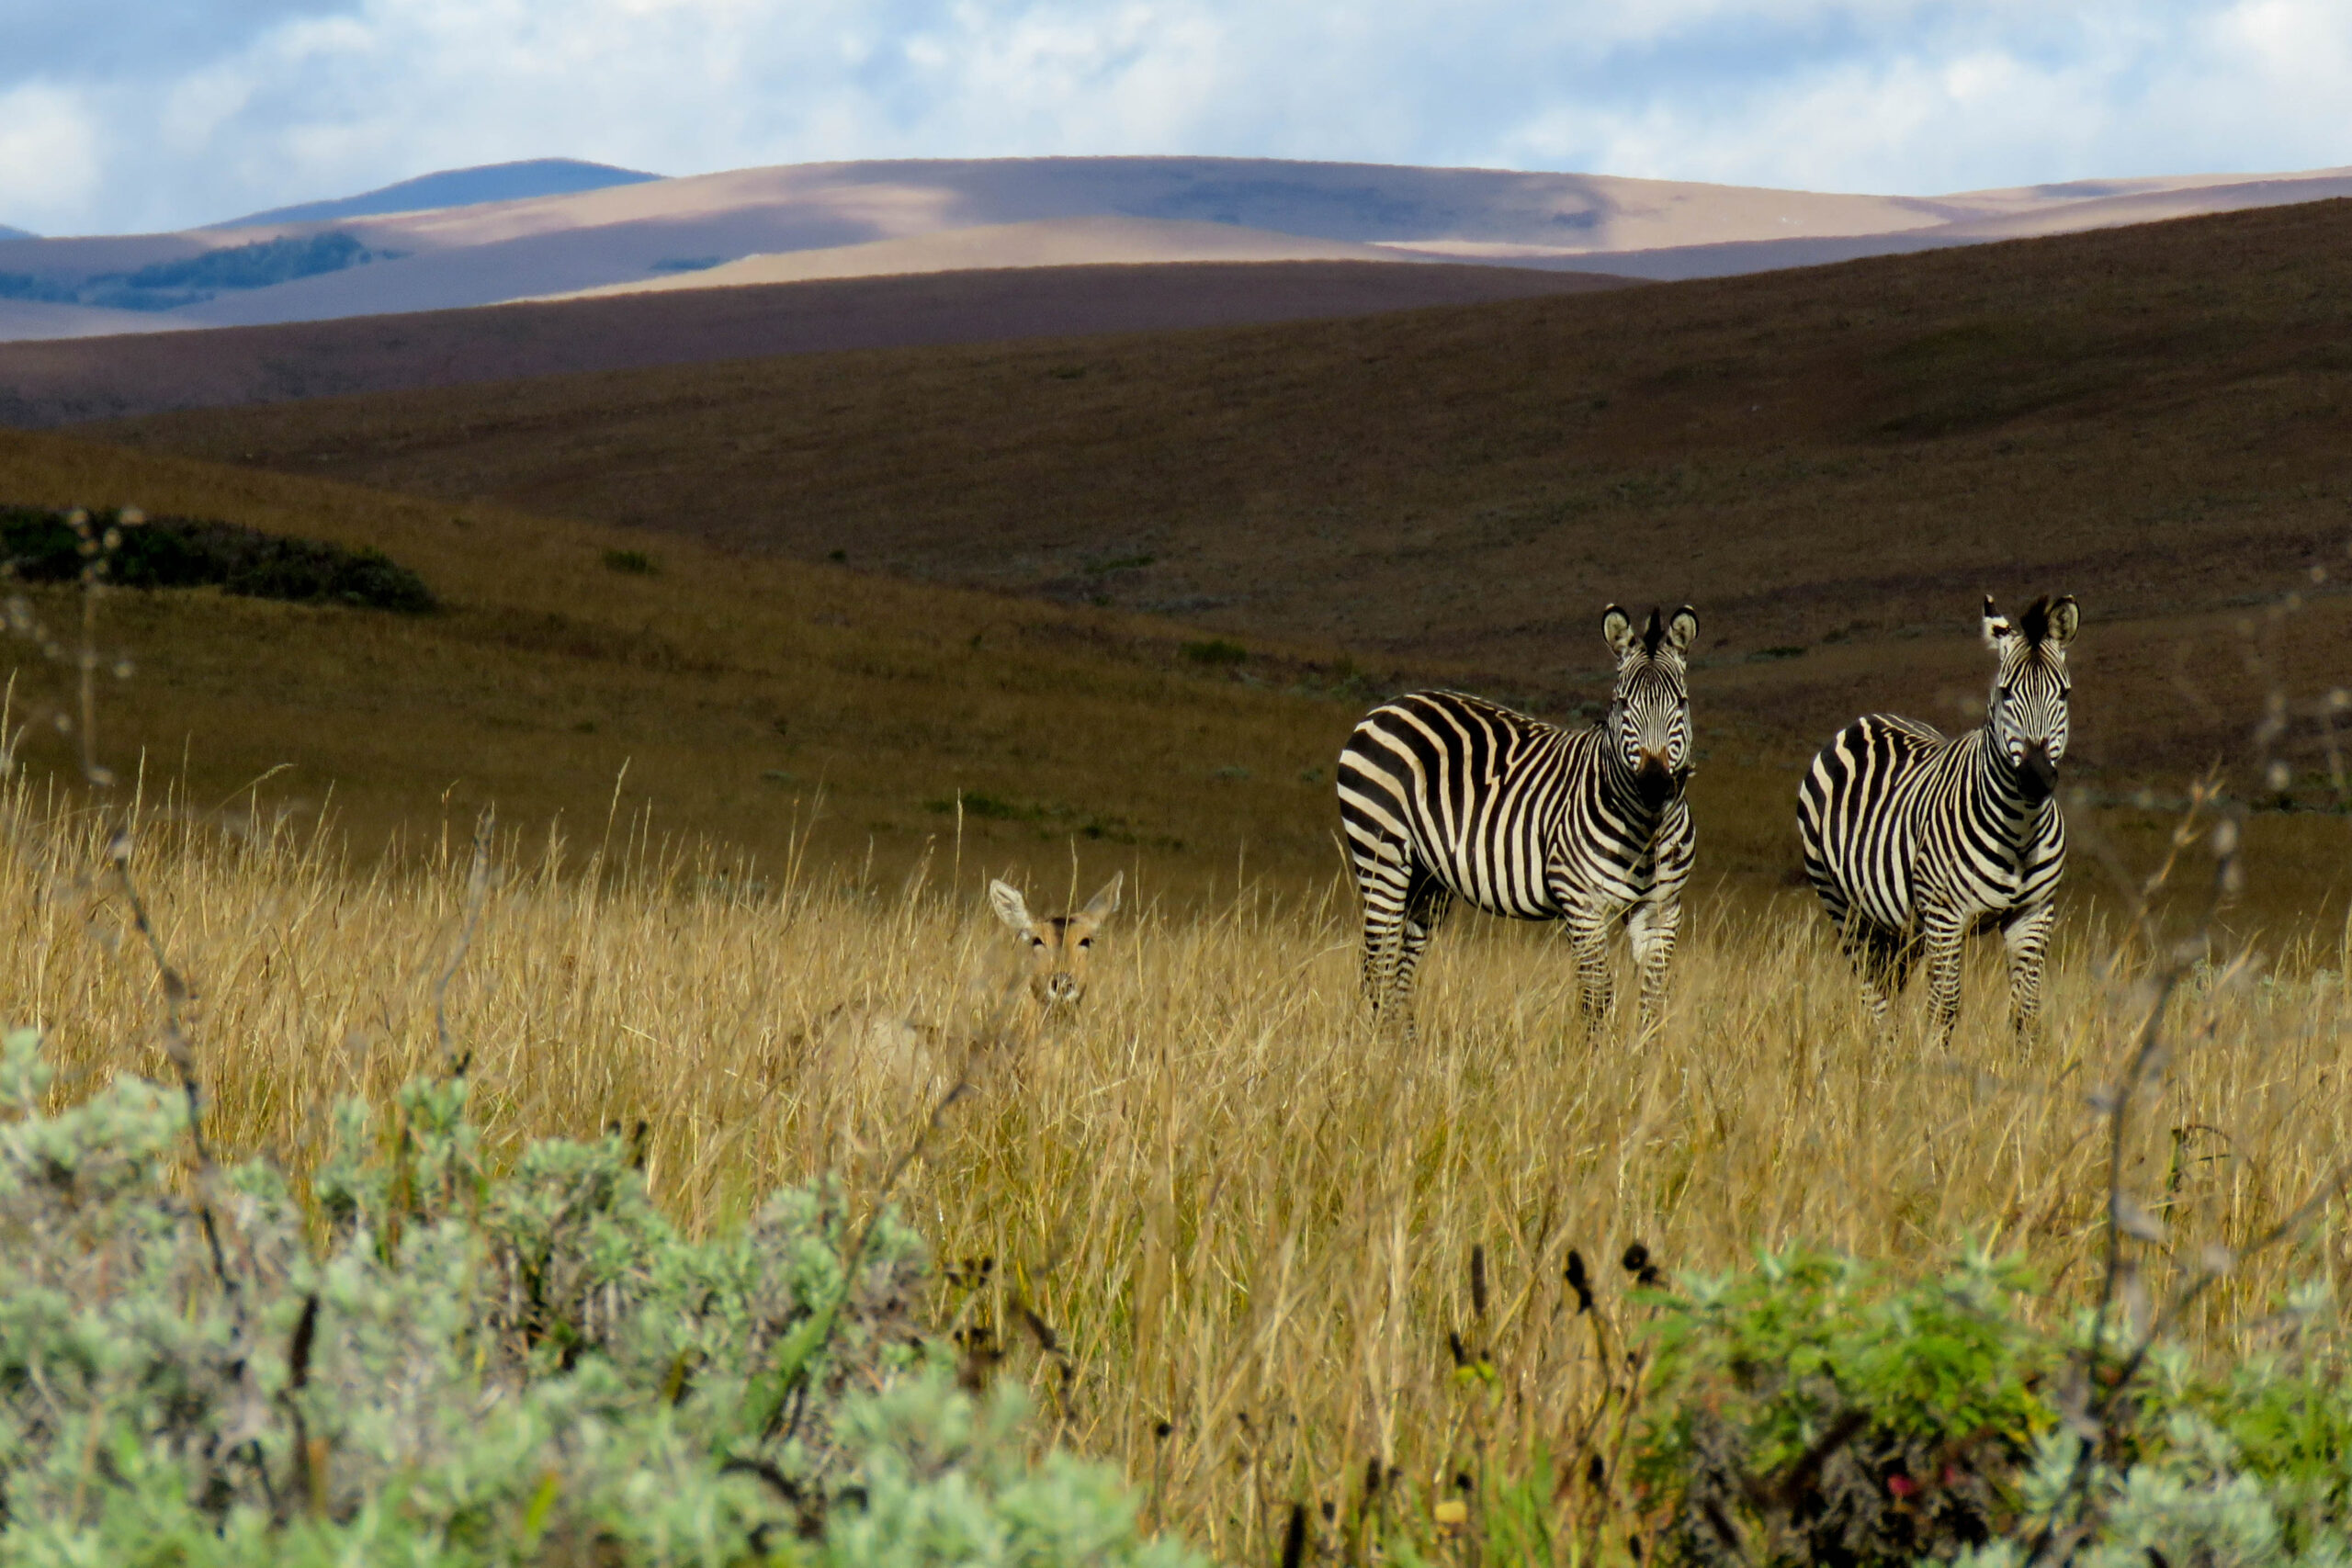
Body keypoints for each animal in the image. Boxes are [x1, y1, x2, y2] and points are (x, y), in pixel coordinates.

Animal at [1336, 611, 1702, 1043]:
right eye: (1623, 704)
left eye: (1681, 703)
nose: (1654, 783)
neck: (1647, 828)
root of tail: (1388, 706)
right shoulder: (1582, 903)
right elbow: (1598, 996)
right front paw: (1598, 1058)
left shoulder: (1662, 911)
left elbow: (1653, 999)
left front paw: (1644, 1056)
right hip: (1382, 853)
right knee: (1381, 958)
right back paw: (1384, 1046)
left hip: (1426, 879)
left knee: (1400, 964)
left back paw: (1404, 1045)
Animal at [1796, 594, 2079, 1048]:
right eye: (2005, 693)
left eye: (2064, 694)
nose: (2036, 777)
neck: (2020, 829)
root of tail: (1865, 720)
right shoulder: (1945, 917)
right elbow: (1945, 1008)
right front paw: (1936, 1066)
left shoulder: (2034, 913)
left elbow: (2025, 1013)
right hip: (1843, 905)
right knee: (1873, 994)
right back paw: (1886, 1054)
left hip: (1903, 925)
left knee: (1889, 987)